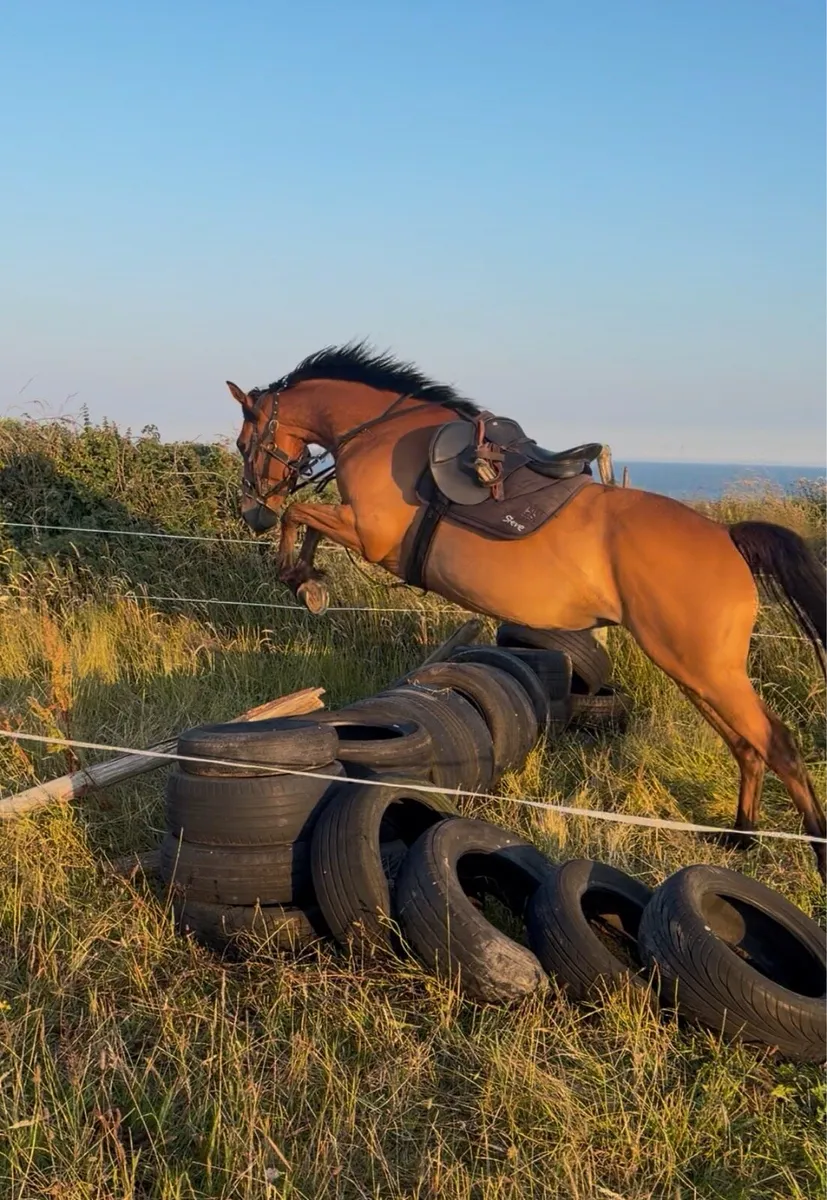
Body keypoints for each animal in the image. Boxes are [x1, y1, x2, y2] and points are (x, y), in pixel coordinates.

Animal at [226, 342, 827, 875]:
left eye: (242, 441)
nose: (251, 511)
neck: (377, 433)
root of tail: (727, 538)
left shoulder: (370, 536)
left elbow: (301, 514)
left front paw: (301, 580)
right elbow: (305, 521)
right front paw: (311, 582)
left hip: (704, 669)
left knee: (779, 745)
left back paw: (812, 850)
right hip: (695, 670)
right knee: (749, 746)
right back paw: (741, 838)